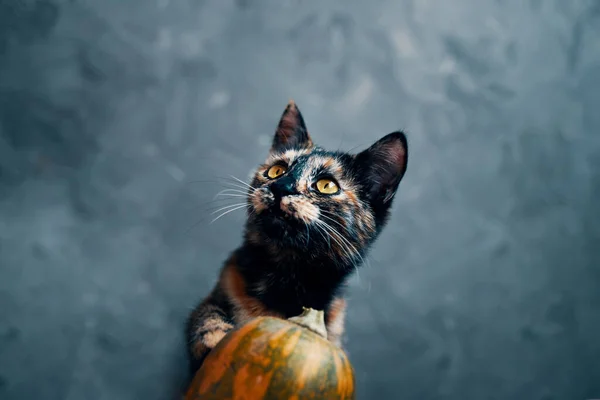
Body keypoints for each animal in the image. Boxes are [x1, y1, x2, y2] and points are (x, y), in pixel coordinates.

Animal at [184, 101, 408, 376]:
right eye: (276, 170)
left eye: (326, 185)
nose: (281, 187)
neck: (287, 278)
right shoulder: (219, 289)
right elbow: (207, 319)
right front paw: (218, 341)